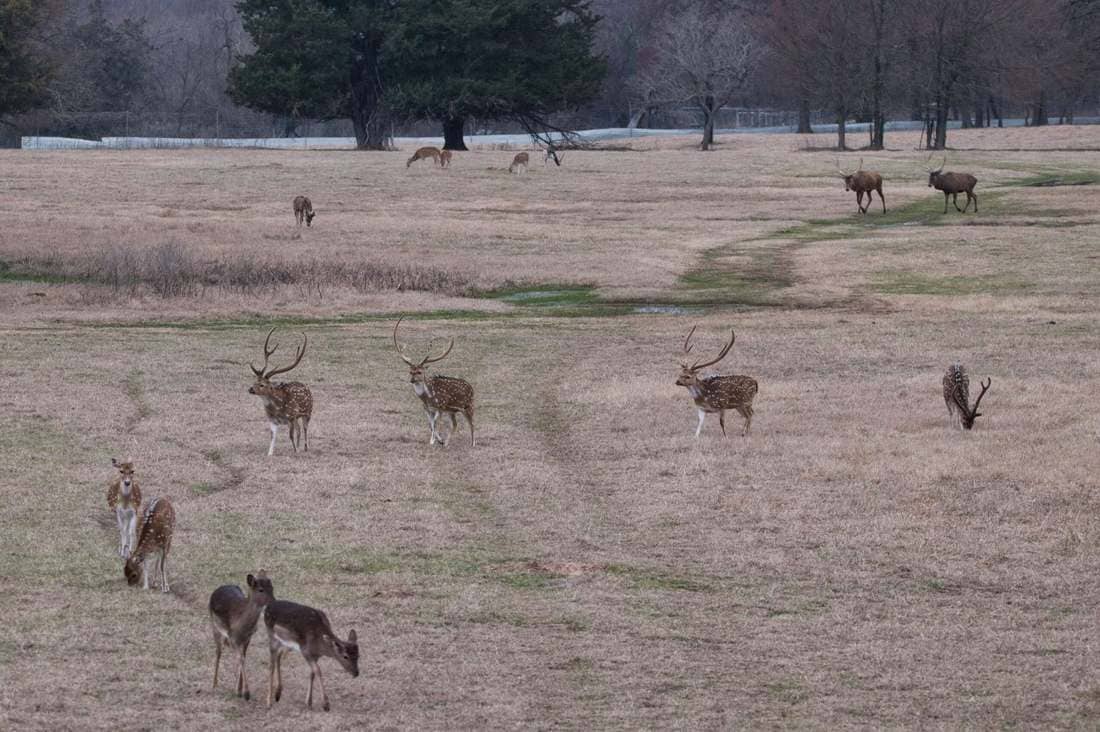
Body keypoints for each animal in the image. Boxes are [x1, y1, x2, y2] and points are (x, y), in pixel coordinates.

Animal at [209, 570, 275, 701]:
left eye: (272, 587)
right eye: (261, 590)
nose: (274, 602)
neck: (243, 627)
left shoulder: (247, 639)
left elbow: (243, 657)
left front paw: (239, 690)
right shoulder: (233, 637)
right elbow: (241, 659)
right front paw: (246, 693)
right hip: (214, 626)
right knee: (218, 652)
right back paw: (214, 684)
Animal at [248, 328, 313, 456]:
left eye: (262, 385)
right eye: (255, 382)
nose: (250, 389)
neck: (277, 409)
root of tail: (306, 386)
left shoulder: (291, 417)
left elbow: (291, 435)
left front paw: (295, 451)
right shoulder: (272, 420)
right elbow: (272, 436)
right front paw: (269, 454)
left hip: (307, 412)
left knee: (304, 428)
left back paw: (305, 447)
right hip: (297, 417)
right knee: (299, 430)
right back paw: (299, 447)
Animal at [393, 317, 475, 447]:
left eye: (420, 372)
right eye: (411, 372)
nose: (412, 380)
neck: (428, 398)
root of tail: (472, 388)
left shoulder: (440, 407)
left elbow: (435, 424)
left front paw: (436, 440)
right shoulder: (427, 409)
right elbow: (431, 425)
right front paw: (437, 441)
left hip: (469, 405)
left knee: (472, 424)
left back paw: (472, 444)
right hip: (452, 411)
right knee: (455, 424)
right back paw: (446, 443)